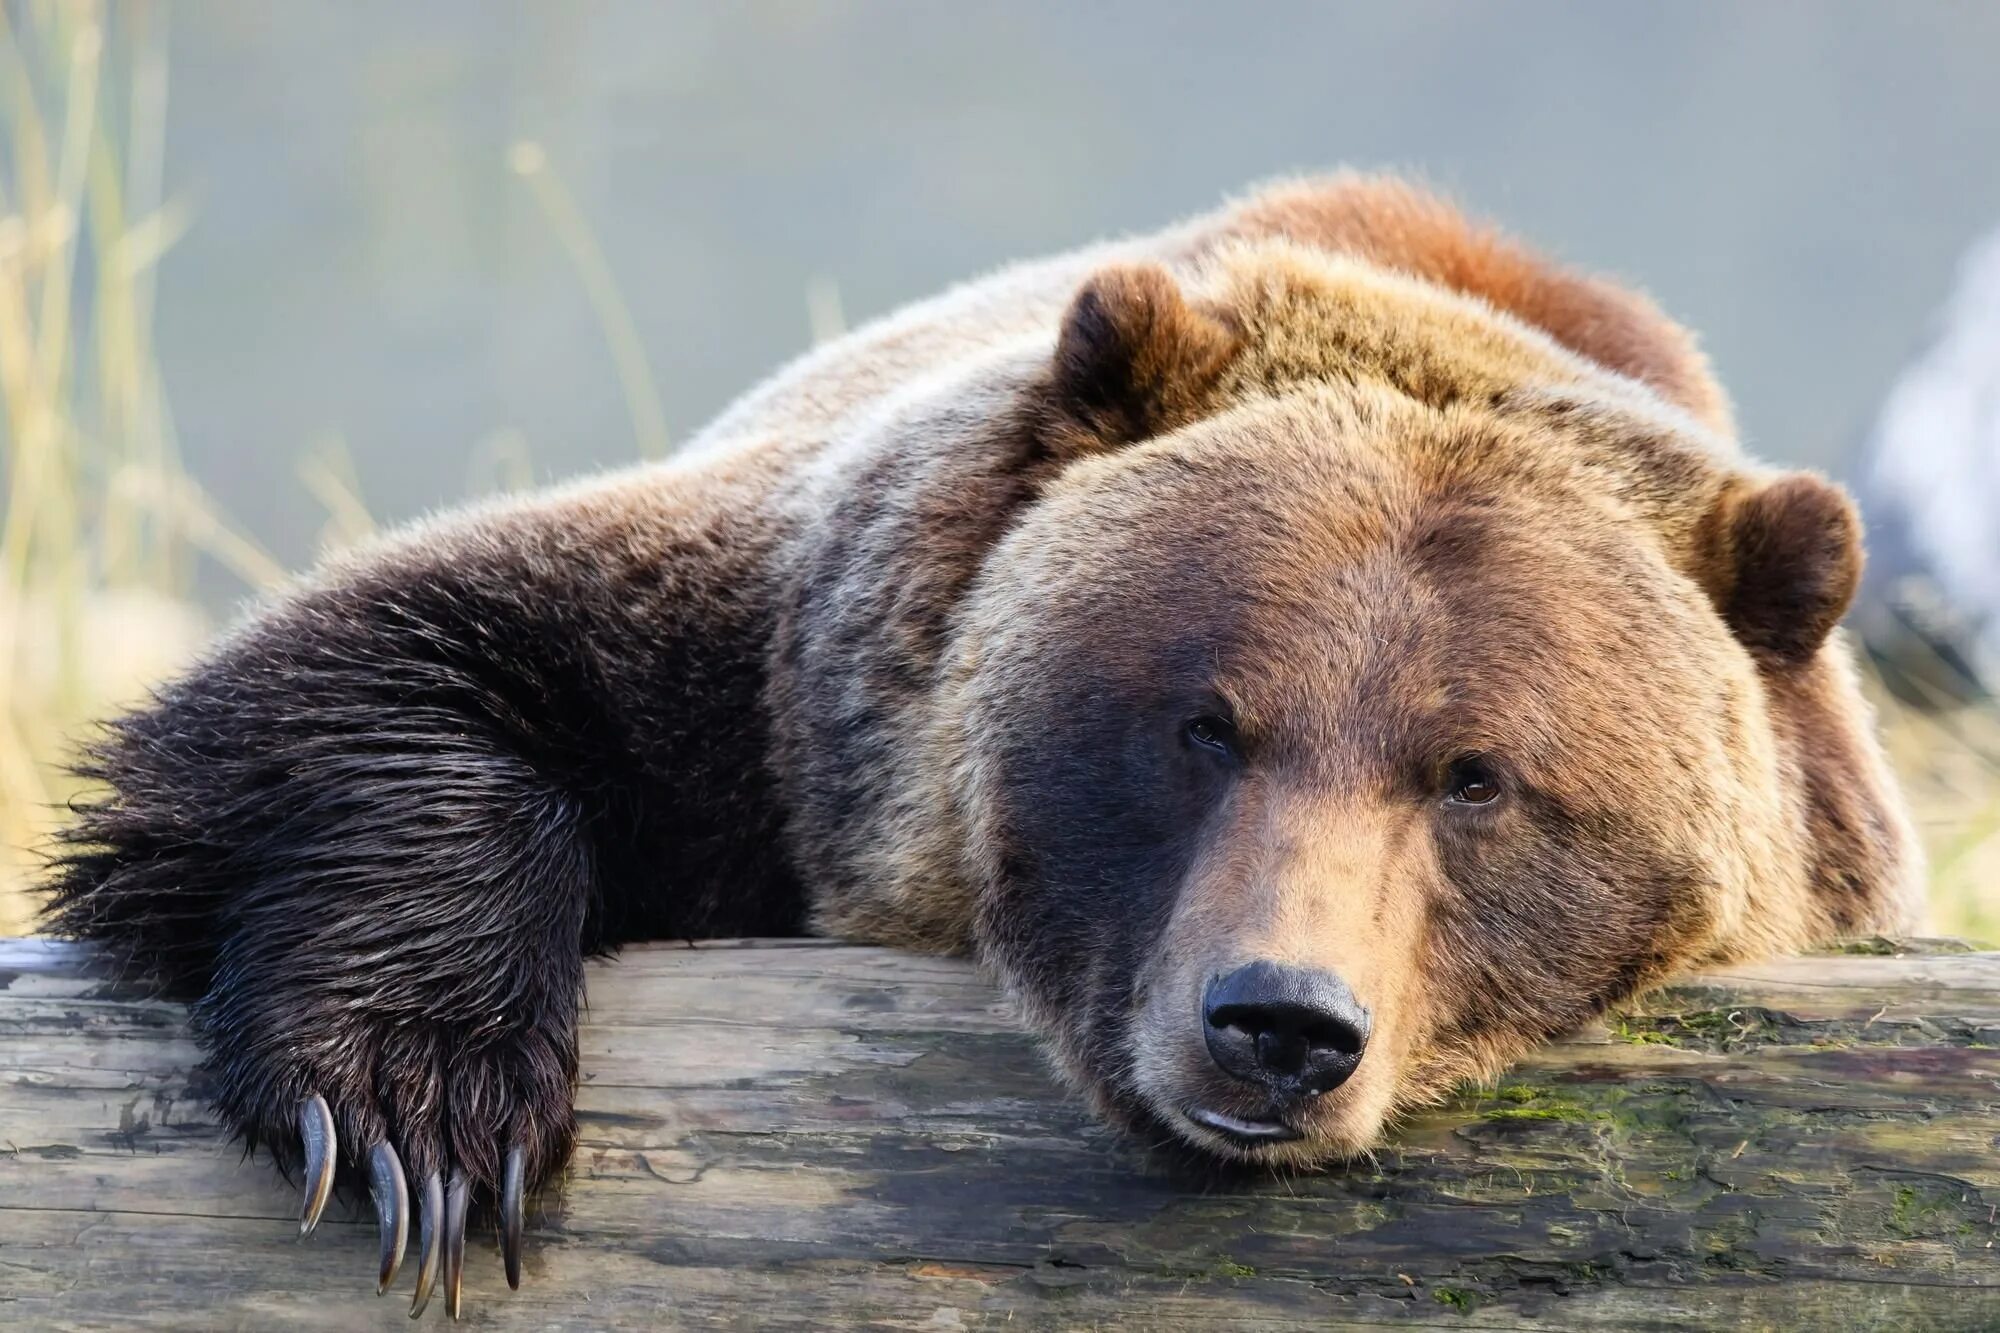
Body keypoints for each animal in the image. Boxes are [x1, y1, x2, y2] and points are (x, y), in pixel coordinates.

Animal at [43, 171, 1920, 1312]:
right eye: (1201, 721)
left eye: (1480, 776)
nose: (1278, 1024)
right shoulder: (775, 669)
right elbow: (383, 658)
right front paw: (424, 1116)